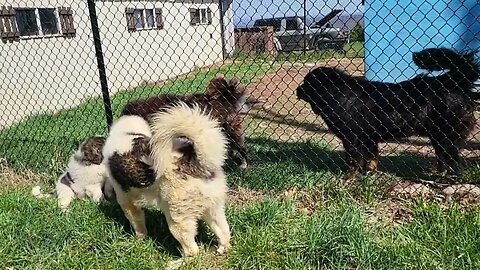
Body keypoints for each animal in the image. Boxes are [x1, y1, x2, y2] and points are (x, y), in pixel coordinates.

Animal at [296, 47, 480, 180]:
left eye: (306, 83)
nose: (297, 89)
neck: (337, 93)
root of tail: (451, 80)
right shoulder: (368, 139)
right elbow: (371, 158)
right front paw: (369, 174)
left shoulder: (352, 139)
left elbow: (352, 160)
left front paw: (348, 177)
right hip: (438, 136)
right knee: (442, 158)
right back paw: (439, 173)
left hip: (446, 136)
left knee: (453, 160)